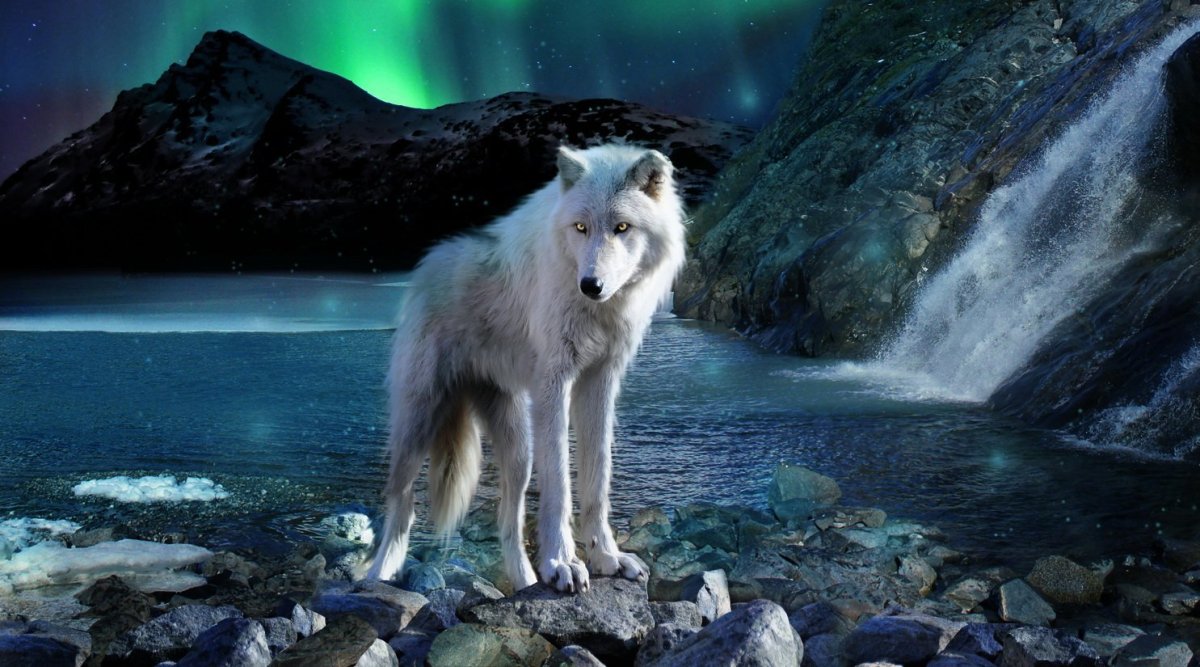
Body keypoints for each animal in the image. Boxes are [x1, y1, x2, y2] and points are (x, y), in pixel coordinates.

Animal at [366, 144, 687, 593]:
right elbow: (559, 488)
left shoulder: (600, 382)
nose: (591, 285)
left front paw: (606, 558)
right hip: (418, 424)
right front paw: (562, 563)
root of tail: (425, 266)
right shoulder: (554, 384)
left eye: (622, 227)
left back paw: (525, 581)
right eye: (580, 227)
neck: (597, 311)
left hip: (518, 448)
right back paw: (378, 575)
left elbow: (596, 481)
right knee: (402, 504)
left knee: (508, 523)